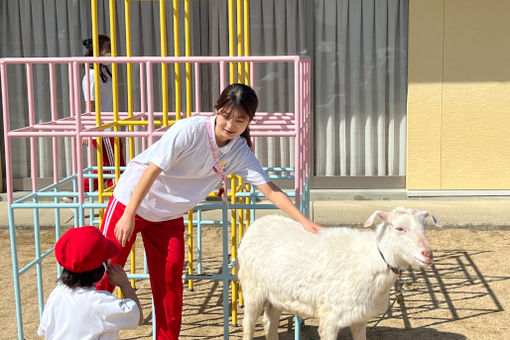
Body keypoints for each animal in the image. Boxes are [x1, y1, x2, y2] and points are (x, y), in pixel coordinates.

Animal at [237, 206, 440, 338]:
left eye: (424, 228)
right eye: (399, 228)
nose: (427, 254)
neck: (370, 259)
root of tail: (256, 224)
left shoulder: (360, 315)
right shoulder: (330, 317)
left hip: (276, 294)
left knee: (269, 321)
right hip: (251, 286)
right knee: (248, 324)